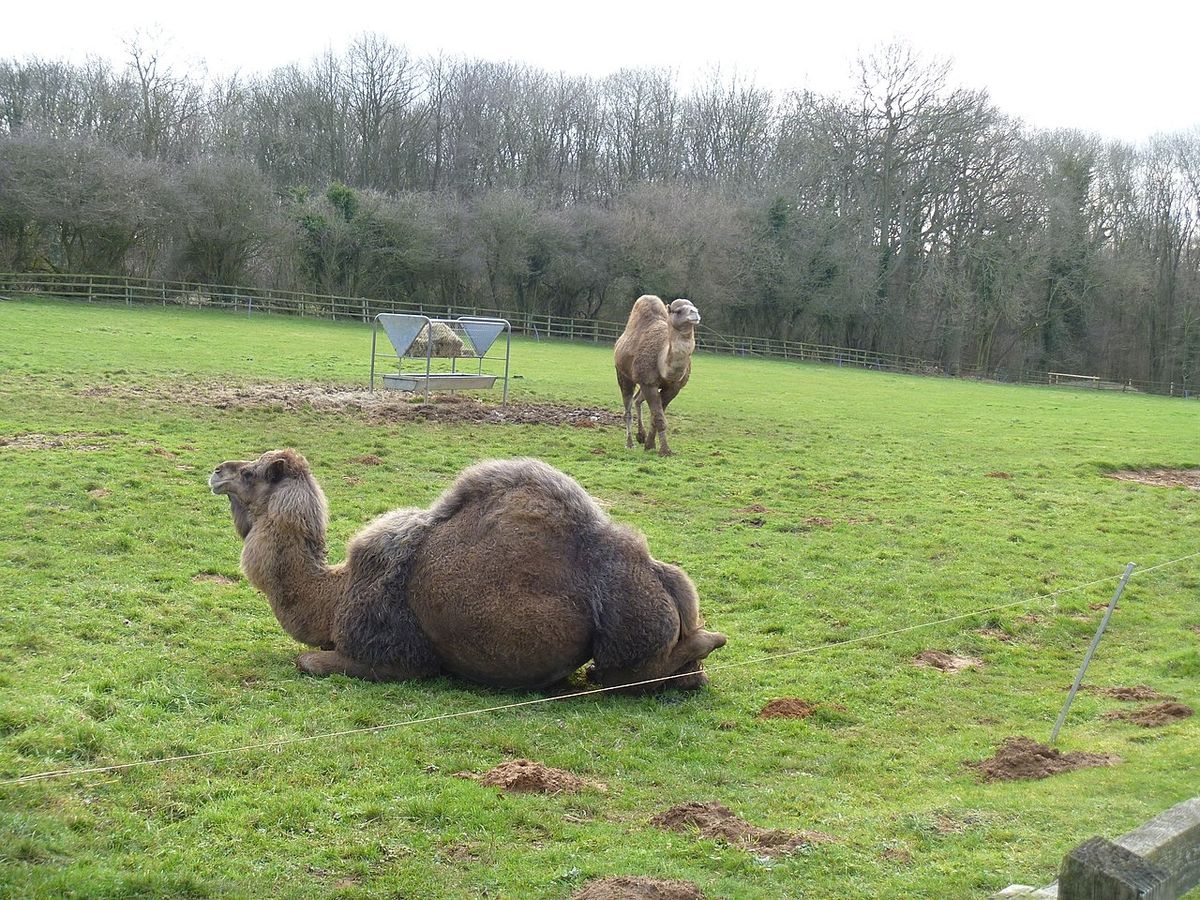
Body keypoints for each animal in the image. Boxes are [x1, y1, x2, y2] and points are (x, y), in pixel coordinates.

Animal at [209, 449, 726, 691]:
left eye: (251, 473)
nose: (217, 470)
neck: (334, 595)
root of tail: (661, 577)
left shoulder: (397, 657)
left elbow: (309, 661)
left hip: (626, 630)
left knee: (623, 672)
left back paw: (711, 639)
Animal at [614, 295, 700, 456]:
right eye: (678, 311)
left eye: (695, 307)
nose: (695, 313)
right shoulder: (649, 383)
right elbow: (659, 418)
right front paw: (665, 451)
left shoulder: (673, 388)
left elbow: (656, 416)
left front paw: (650, 445)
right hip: (623, 374)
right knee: (627, 407)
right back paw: (630, 444)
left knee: (637, 400)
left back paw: (640, 436)